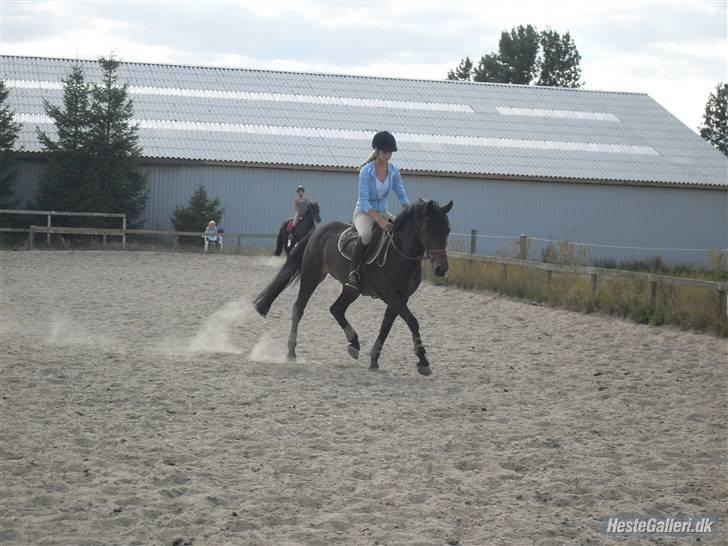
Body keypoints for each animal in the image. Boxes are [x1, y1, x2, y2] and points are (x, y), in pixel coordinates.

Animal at [255, 200, 450, 374]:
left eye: (447, 230)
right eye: (429, 230)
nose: (441, 269)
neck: (399, 253)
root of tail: (317, 232)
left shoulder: (401, 298)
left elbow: (386, 327)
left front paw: (374, 360)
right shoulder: (391, 295)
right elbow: (412, 321)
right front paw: (423, 361)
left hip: (352, 289)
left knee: (336, 309)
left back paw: (354, 344)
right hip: (312, 276)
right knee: (299, 308)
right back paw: (291, 352)